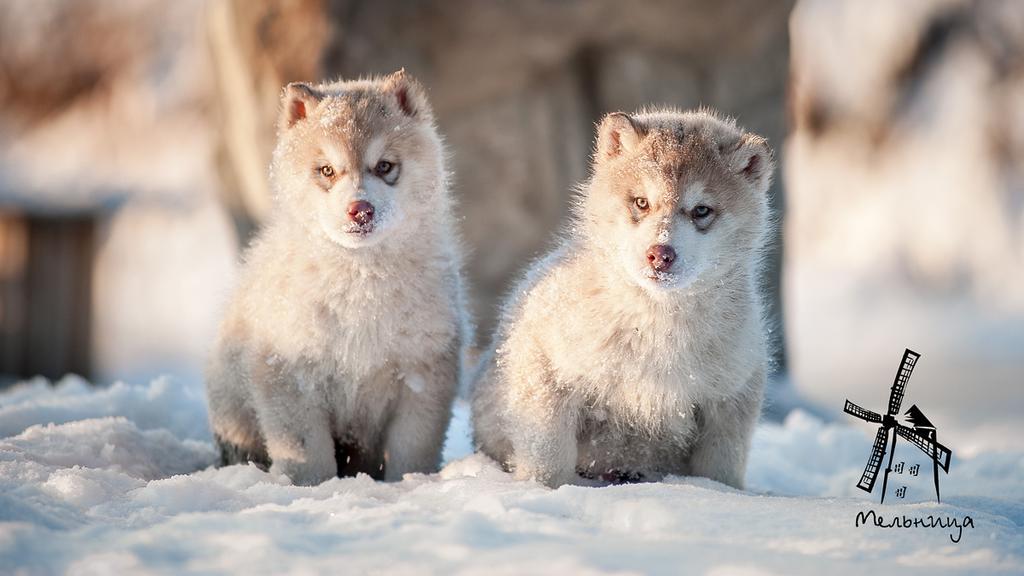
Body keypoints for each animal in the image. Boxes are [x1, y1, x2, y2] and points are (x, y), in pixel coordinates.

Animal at [207, 71, 471, 483]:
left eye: (385, 166)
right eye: (327, 170)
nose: (360, 210)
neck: (361, 278)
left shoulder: (423, 377)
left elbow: (411, 453)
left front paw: (409, 484)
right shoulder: (289, 376)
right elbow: (309, 456)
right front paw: (312, 487)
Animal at [475, 106, 770, 483]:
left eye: (701, 210)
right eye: (641, 202)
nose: (660, 254)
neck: (657, 326)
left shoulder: (731, 395)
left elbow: (719, 471)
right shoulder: (544, 367)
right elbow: (549, 458)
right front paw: (548, 489)